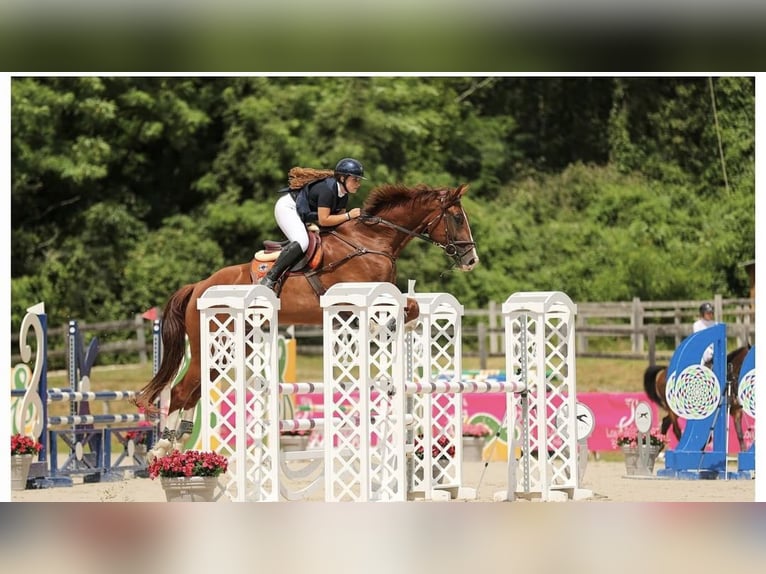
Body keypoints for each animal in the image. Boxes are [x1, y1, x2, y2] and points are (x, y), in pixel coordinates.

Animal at [134, 184, 480, 450]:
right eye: (457, 218)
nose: (471, 260)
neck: (371, 243)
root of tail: (198, 286)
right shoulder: (352, 299)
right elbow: (396, 312)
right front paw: (381, 331)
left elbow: (413, 307)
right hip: (214, 340)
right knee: (181, 390)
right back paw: (163, 446)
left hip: (230, 346)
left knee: (196, 389)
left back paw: (178, 440)